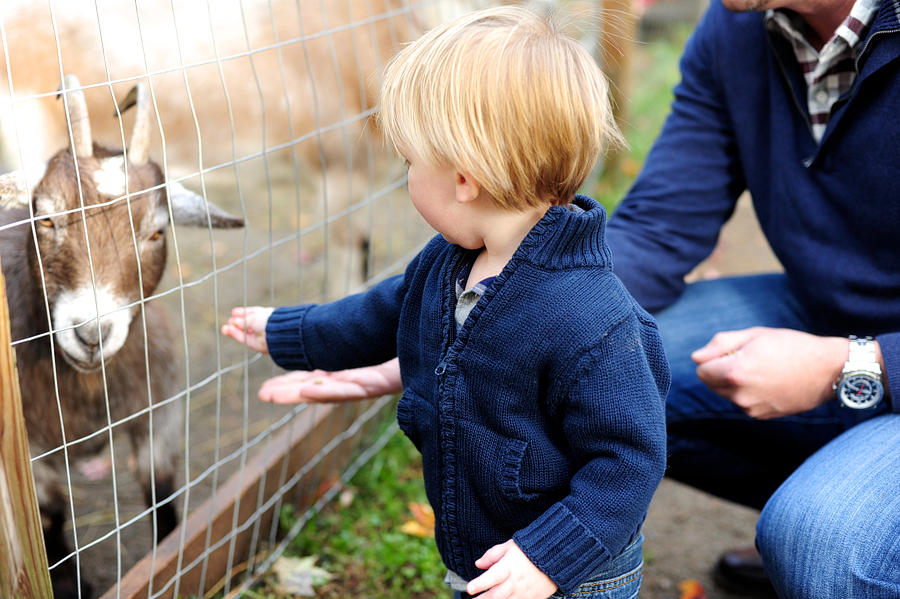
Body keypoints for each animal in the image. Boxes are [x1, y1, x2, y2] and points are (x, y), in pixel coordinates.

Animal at [0, 75, 244, 599]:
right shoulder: (30, 454)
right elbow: (50, 517)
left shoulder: (160, 407)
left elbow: (160, 492)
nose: (91, 335)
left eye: (156, 231)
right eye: (45, 218)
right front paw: (71, 582)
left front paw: (170, 561)